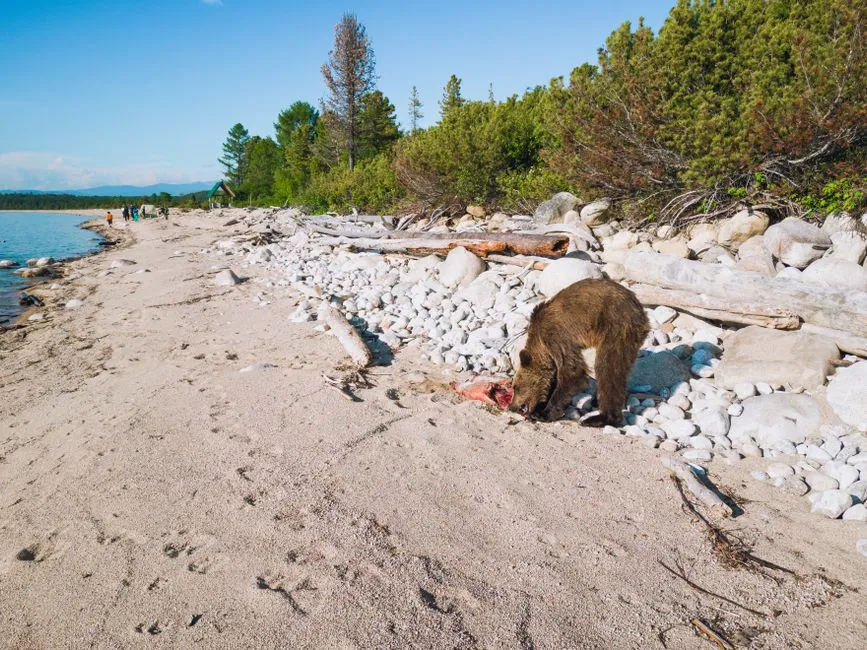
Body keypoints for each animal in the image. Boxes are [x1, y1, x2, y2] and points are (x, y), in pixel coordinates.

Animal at [509, 278, 649, 425]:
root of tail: (640, 310)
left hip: (617, 327)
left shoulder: (556, 335)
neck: (540, 343)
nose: (511, 407)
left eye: (516, 387)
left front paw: (543, 413)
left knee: (607, 369)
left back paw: (600, 418)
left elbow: (573, 373)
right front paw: (539, 408)